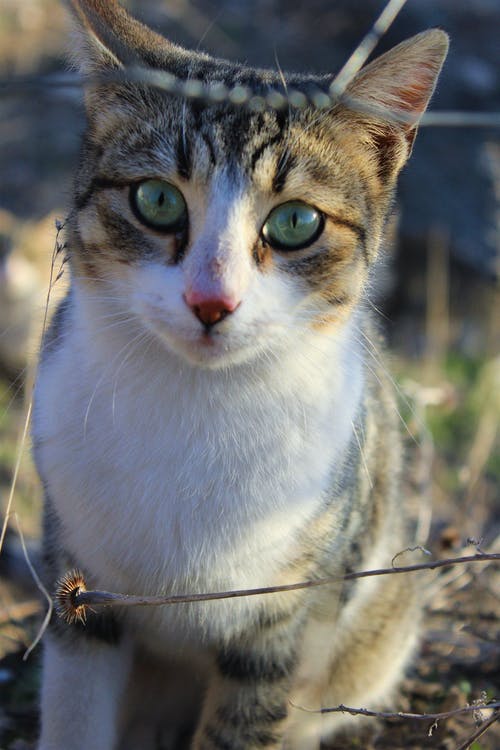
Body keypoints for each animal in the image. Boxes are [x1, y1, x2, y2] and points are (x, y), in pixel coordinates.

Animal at [33, 1, 450, 750]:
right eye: (156, 201)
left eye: (296, 221)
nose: (211, 301)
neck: (196, 406)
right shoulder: (81, 586)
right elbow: (75, 710)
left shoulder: (287, 619)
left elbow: (249, 716)